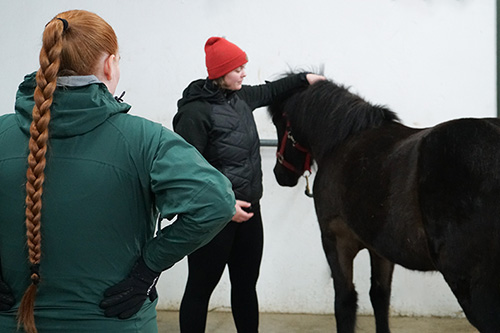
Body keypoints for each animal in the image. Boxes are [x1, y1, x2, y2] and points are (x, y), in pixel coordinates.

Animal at [268, 76, 500, 332]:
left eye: (280, 123)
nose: (280, 174)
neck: (343, 142)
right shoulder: (380, 248)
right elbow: (379, 295)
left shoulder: (336, 241)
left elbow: (345, 301)